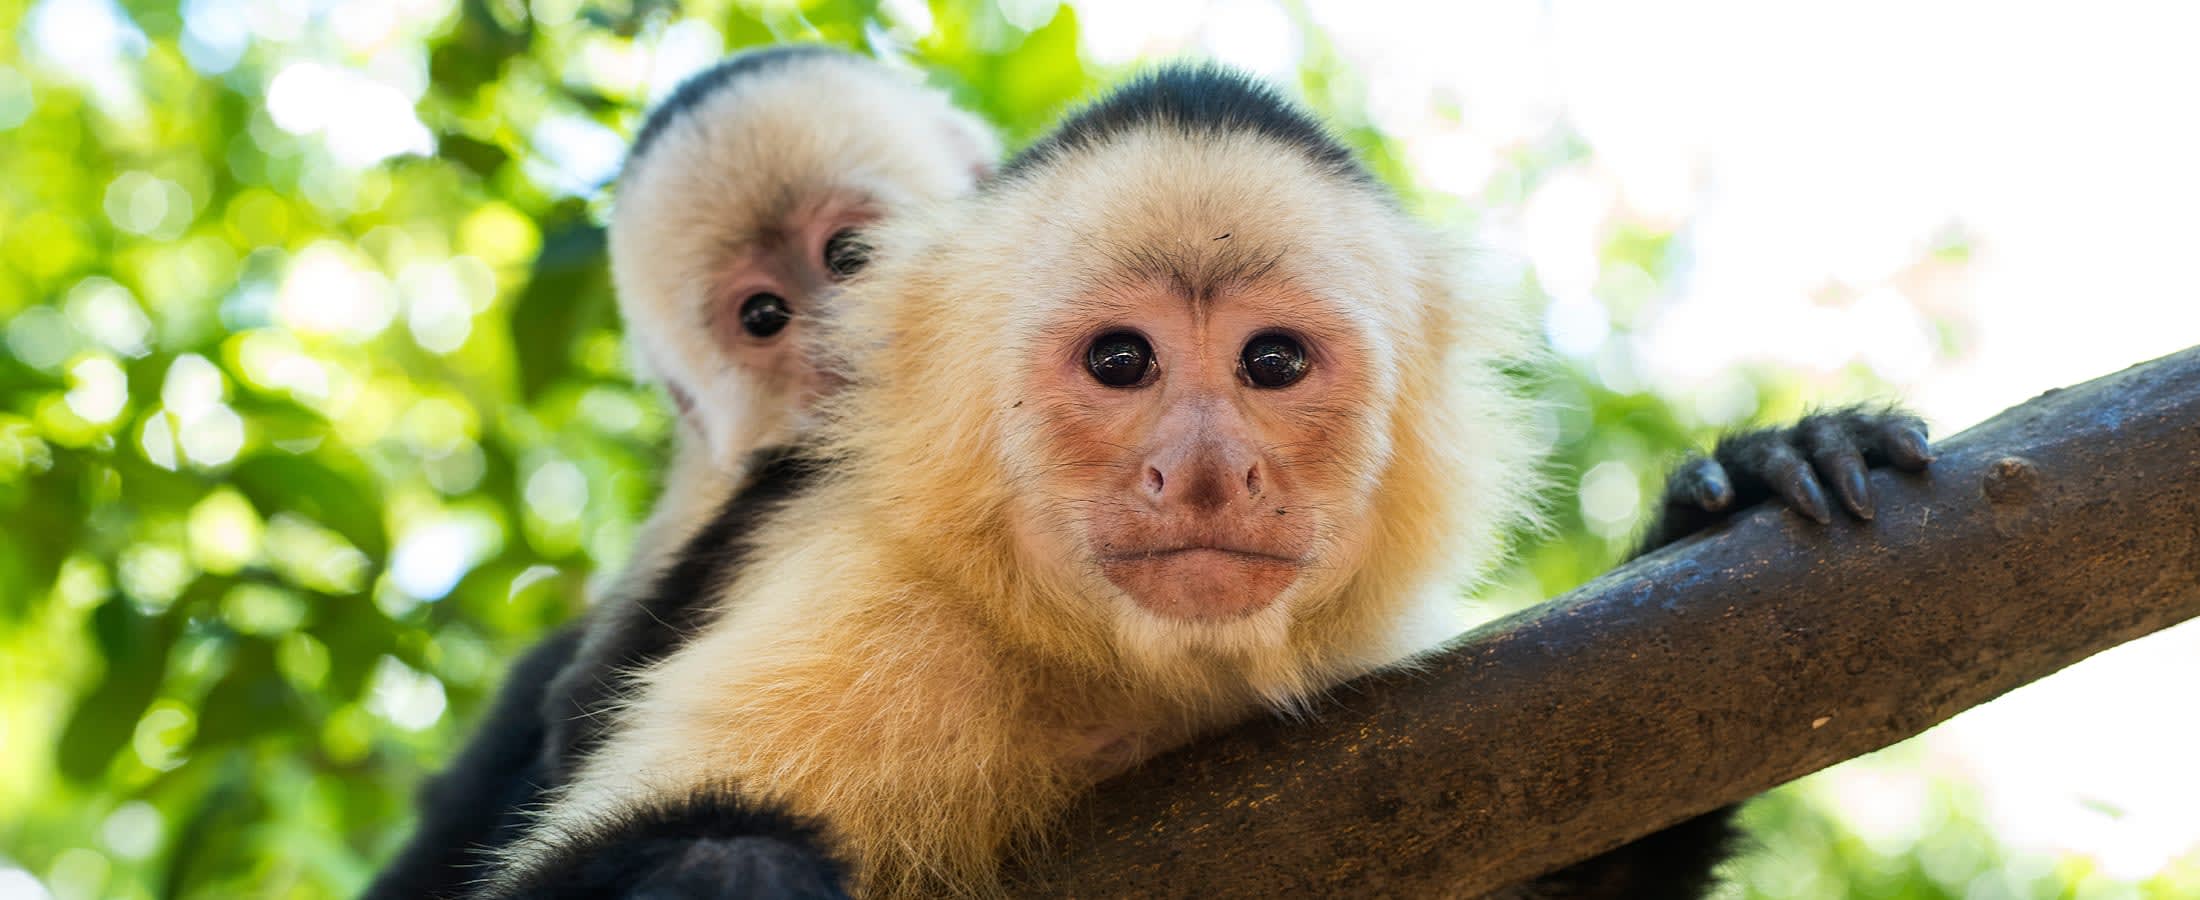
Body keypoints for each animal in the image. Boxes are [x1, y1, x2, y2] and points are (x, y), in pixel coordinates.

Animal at [480, 66, 1934, 899]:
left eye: (1270, 361)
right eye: (1120, 361)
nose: (1204, 468)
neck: (1126, 675)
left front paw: (1741, 484)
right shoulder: (878, 606)